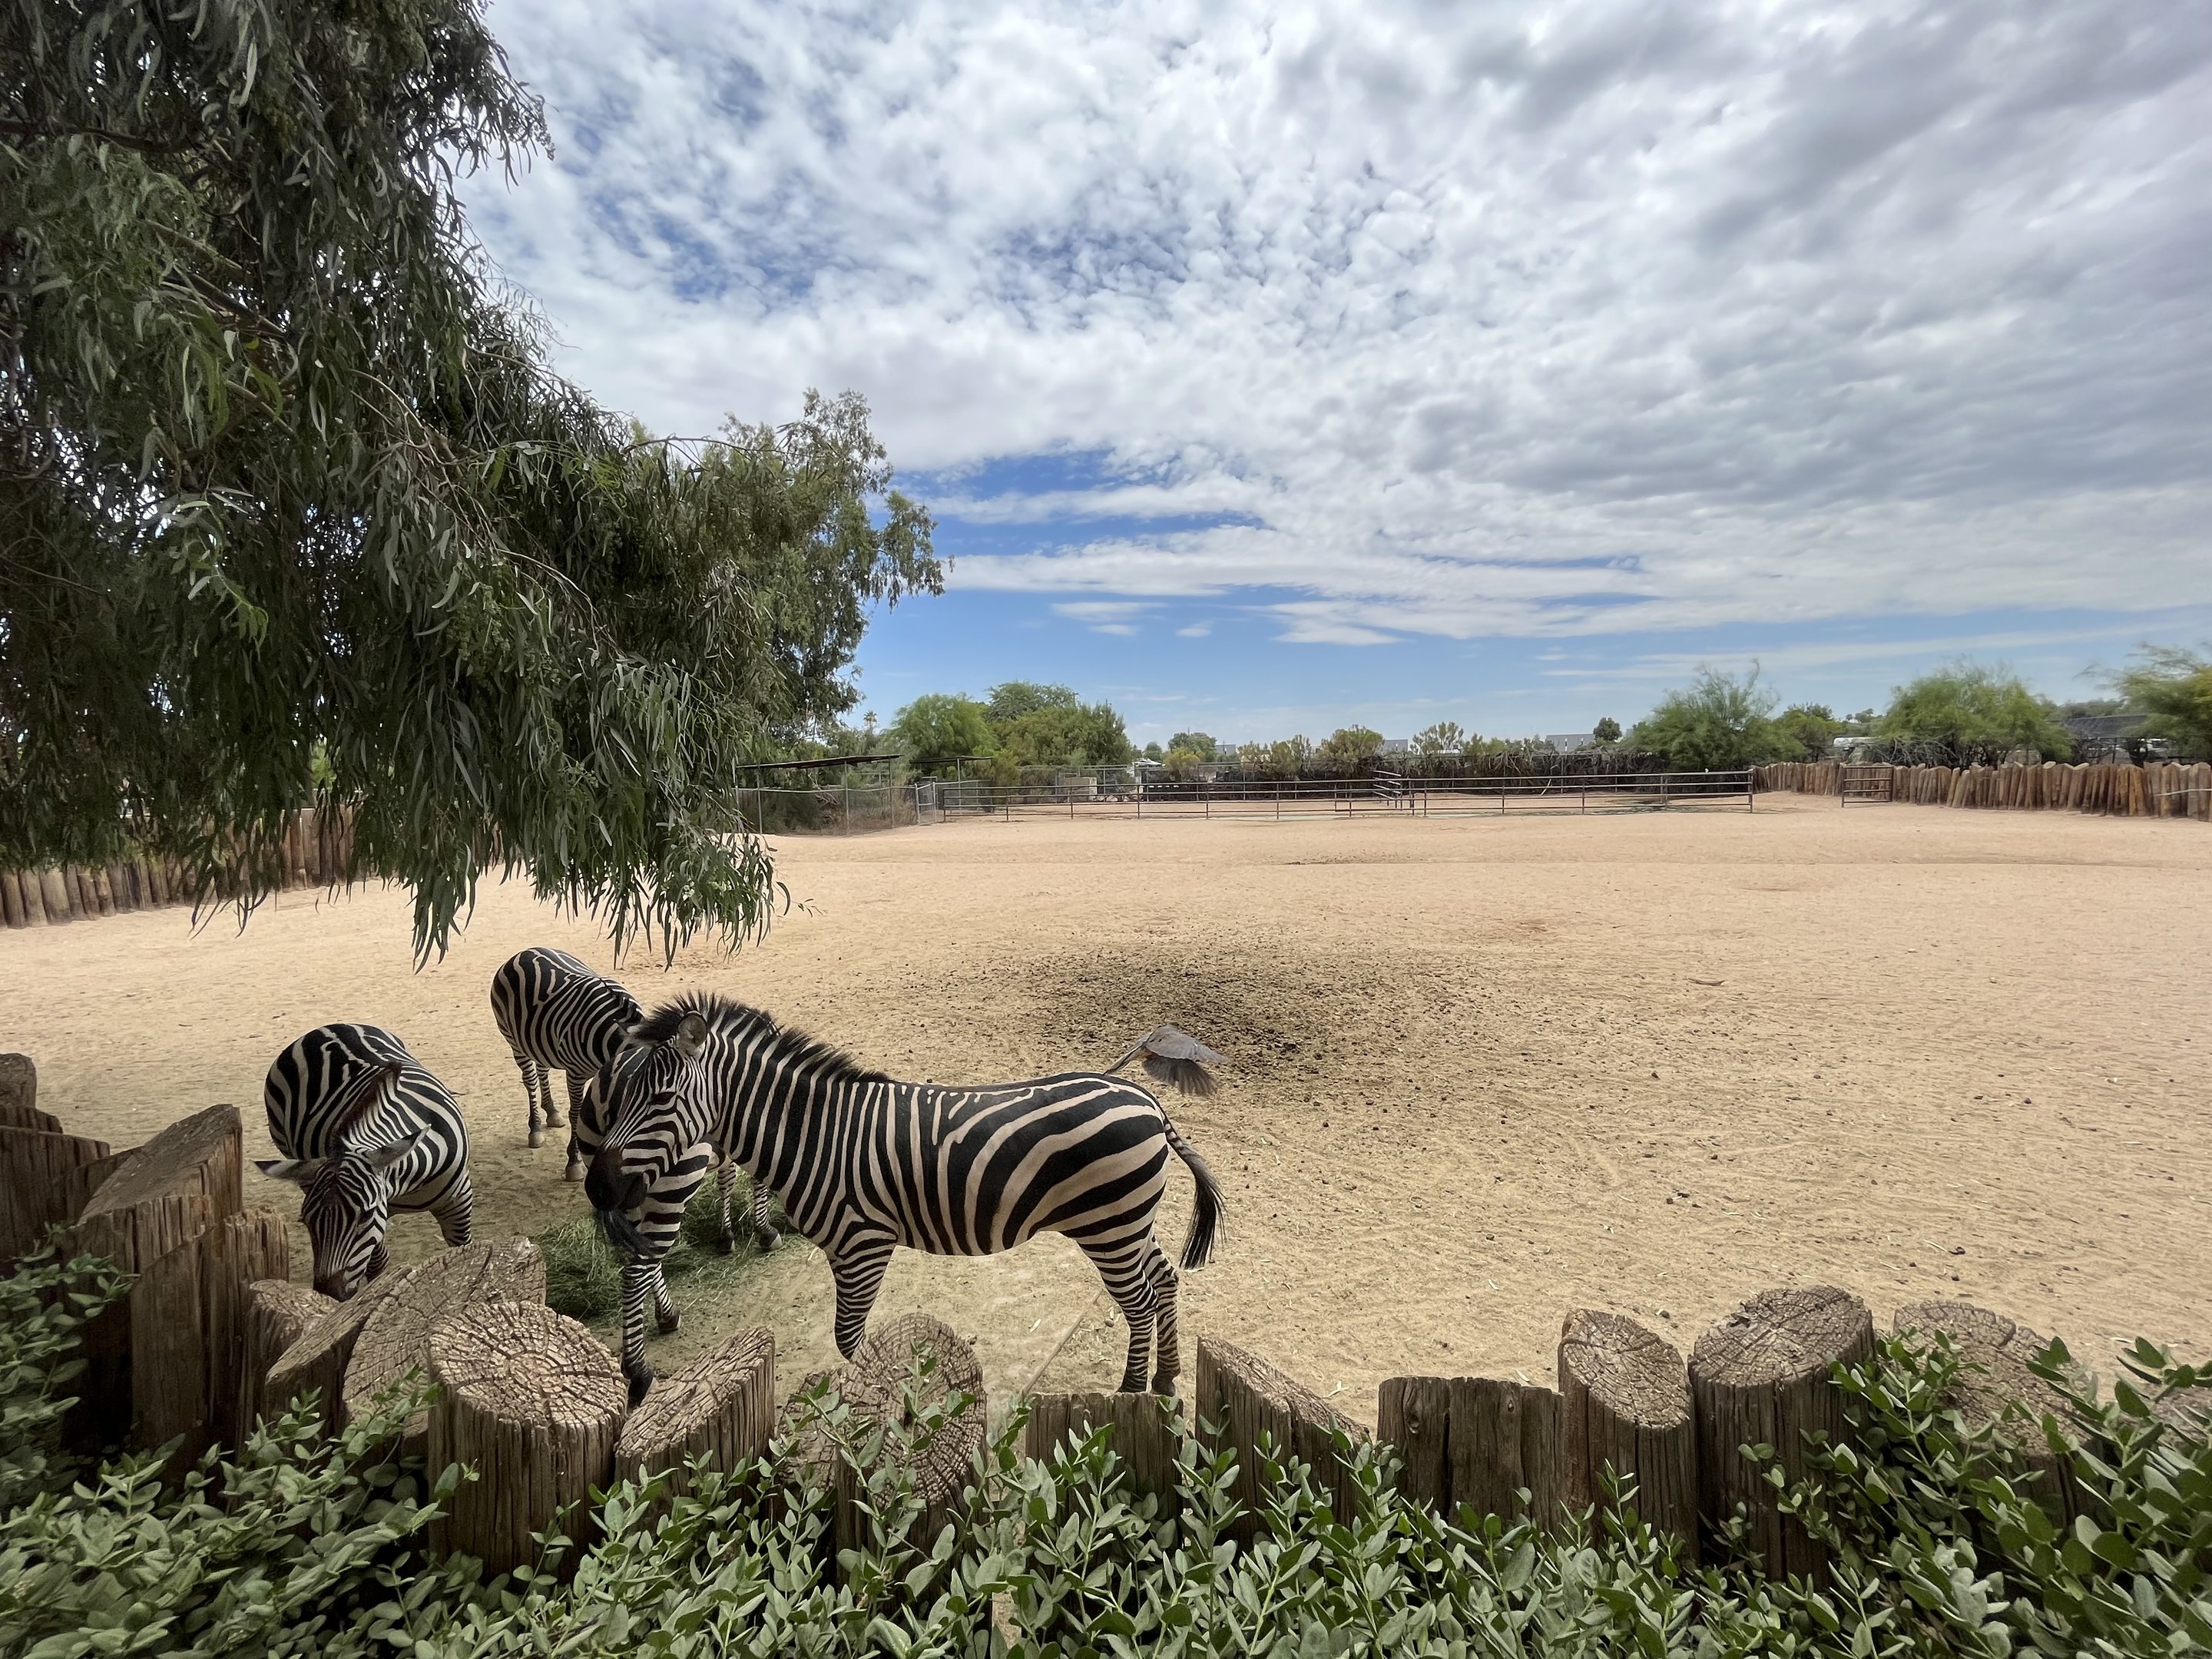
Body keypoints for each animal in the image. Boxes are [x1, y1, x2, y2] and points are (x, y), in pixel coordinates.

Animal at [256, 1023, 472, 1301]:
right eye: (305, 1221)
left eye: (365, 1216)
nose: (330, 1296)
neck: (409, 1182)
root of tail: (327, 1028)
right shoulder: (381, 1212)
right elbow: (377, 1264)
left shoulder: (459, 1200)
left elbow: (462, 1247)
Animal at [489, 946, 643, 1178]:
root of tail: (525, 951)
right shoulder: (575, 1074)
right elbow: (576, 1114)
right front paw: (574, 1163)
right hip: (514, 1041)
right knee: (530, 1080)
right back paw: (535, 1129)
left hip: (539, 1039)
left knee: (542, 1069)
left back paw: (552, 1112)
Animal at [584, 993, 1224, 1403]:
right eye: (621, 1093)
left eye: (662, 1098)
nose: (597, 1187)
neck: (815, 1136)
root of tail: (1148, 1101)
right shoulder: (852, 1251)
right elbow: (854, 1341)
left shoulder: (862, 1245)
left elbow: (850, 1341)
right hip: (1130, 1222)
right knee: (1165, 1279)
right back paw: (1166, 1379)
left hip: (1109, 1226)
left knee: (1139, 1302)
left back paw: (1131, 1390)